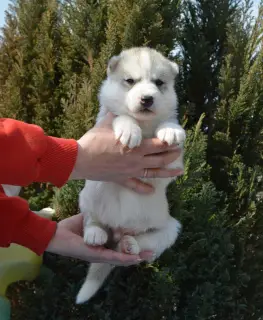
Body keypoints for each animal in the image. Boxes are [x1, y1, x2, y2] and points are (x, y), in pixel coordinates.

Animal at [76, 46, 187, 304]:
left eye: (159, 83)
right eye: (130, 81)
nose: (147, 98)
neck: (144, 126)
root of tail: (118, 231)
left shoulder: (172, 164)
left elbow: (168, 122)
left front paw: (171, 129)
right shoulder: (103, 121)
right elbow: (120, 115)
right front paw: (128, 128)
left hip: (170, 228)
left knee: (145, 242)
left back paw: (129, 244)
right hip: (88, 196)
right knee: (91, 220)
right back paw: (96, 234)